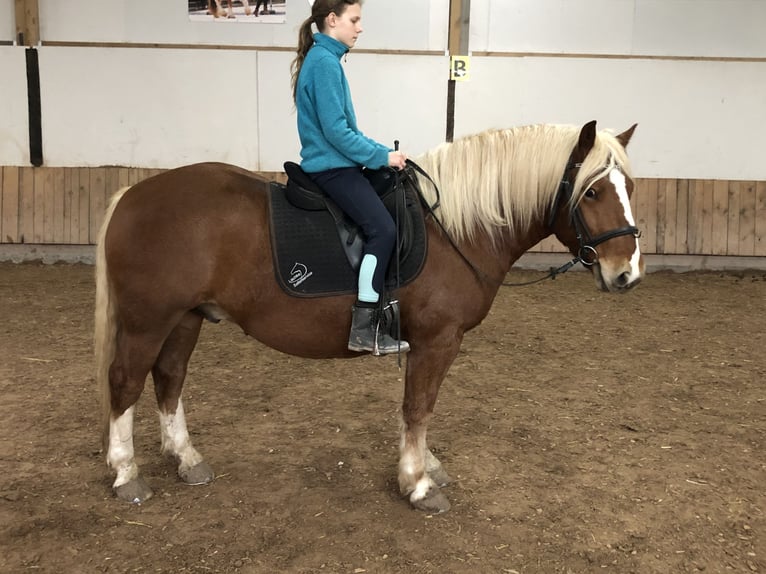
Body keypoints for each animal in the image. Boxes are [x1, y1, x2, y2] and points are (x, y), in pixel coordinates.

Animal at [95, 120, 644, 513]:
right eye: (593, 192)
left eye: (630, 187)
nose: (627, 274)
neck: (455, 227)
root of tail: (133, 195)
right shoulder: (438, 340)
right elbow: (418, 407)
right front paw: (418, 484)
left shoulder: (425, 343)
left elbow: (415, 408)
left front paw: (425, 465)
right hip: (149, 321)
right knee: (125, 382)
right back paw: (126, 473)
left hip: (185, 317)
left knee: (170, 378)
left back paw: (186, 459)